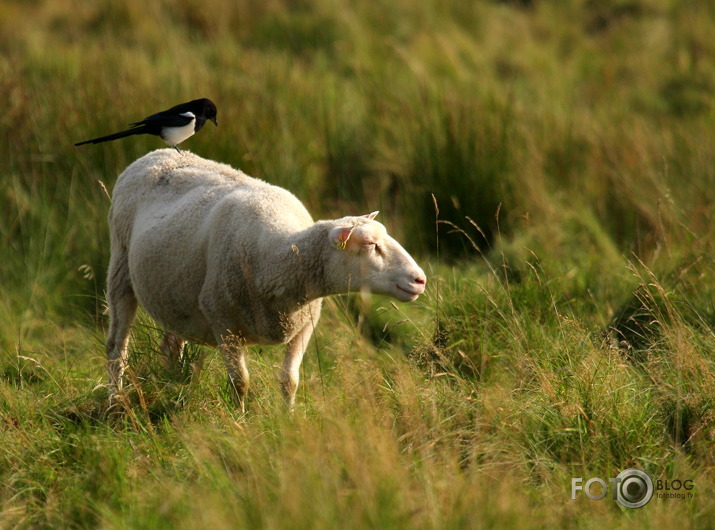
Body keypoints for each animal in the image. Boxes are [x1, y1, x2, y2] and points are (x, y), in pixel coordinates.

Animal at [106, 148, 428, 408]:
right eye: (370, 244)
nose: (420, 280)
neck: (276, 257)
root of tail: (156, 153)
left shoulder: (305, 324)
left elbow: (290, 380)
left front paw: (290, 419)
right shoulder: (223, 322)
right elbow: (240, 383)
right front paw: (240, 423)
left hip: (176, 293)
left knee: (170, 346)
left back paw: (172, 388)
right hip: (120, 268)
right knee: (116, 347)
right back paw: (115, 400)